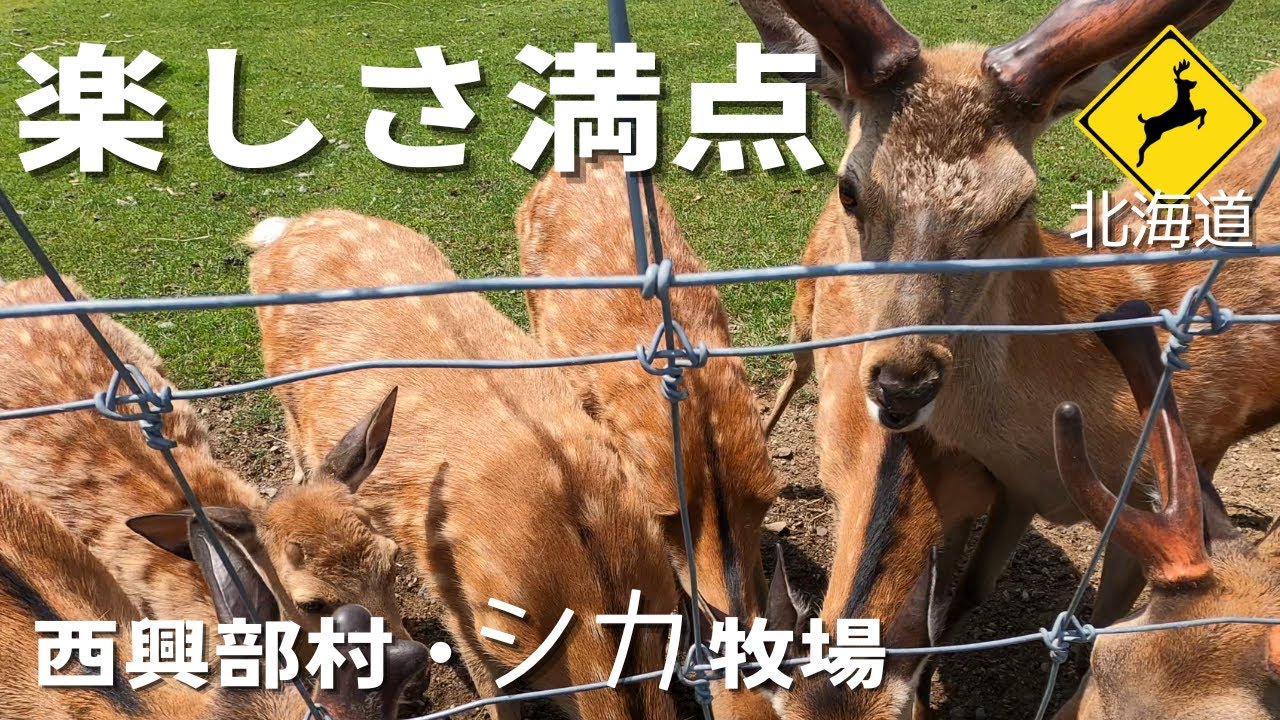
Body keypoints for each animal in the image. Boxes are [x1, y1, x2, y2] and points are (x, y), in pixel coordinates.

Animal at [246, 209, 680, 720]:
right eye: (309, 603)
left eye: (393, 562)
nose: (406, 684)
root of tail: (287, 226)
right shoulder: (456, 590)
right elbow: (491, 688)